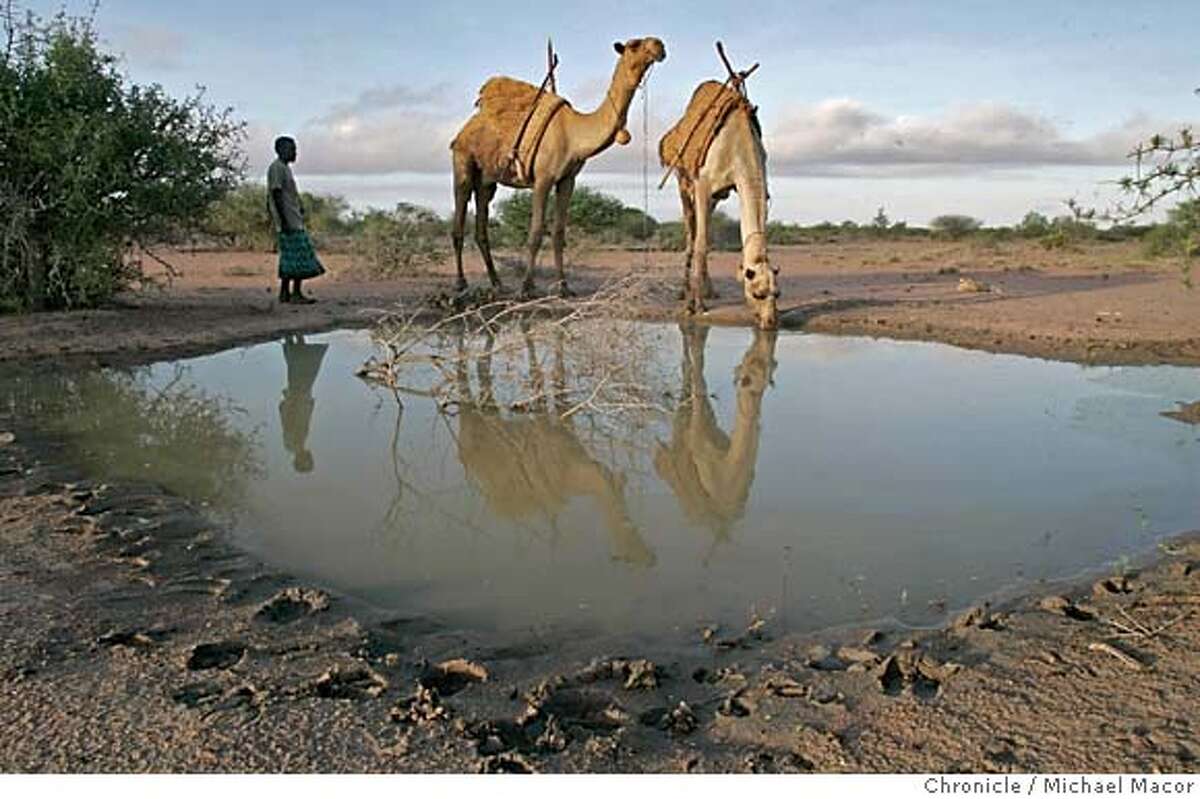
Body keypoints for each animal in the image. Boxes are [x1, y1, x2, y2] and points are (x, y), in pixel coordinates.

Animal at [451, 326, 657, 566]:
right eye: (630, 553)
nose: (651, 558)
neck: (575, 474)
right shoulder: (544, 440)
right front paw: (537, 393)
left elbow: (556, 341)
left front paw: (550, 390)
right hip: (470, 432)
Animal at [453, 36, 672, 295]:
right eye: (634, 45)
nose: (659, 45)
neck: (573, 134)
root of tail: (465, 128)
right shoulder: (543, 178)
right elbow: (536, 231)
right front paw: (527, 286)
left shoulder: (567, 180)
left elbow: (558, 232)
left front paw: (564, 286)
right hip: (463, 161)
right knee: (459, 219)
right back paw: (461, 283)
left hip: (487, 179)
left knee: (481, 227)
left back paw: (497, 283)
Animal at [657, 80, 777, 326]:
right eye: (757, 293)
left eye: (777, 294)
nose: (770, 322)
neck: (738, 147)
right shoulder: (702, 184)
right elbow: (701, 244)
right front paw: (694, 306)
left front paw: (703, 296)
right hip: (682, 179)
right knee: (691, 233)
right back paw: (684, 292)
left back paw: (708, 289)